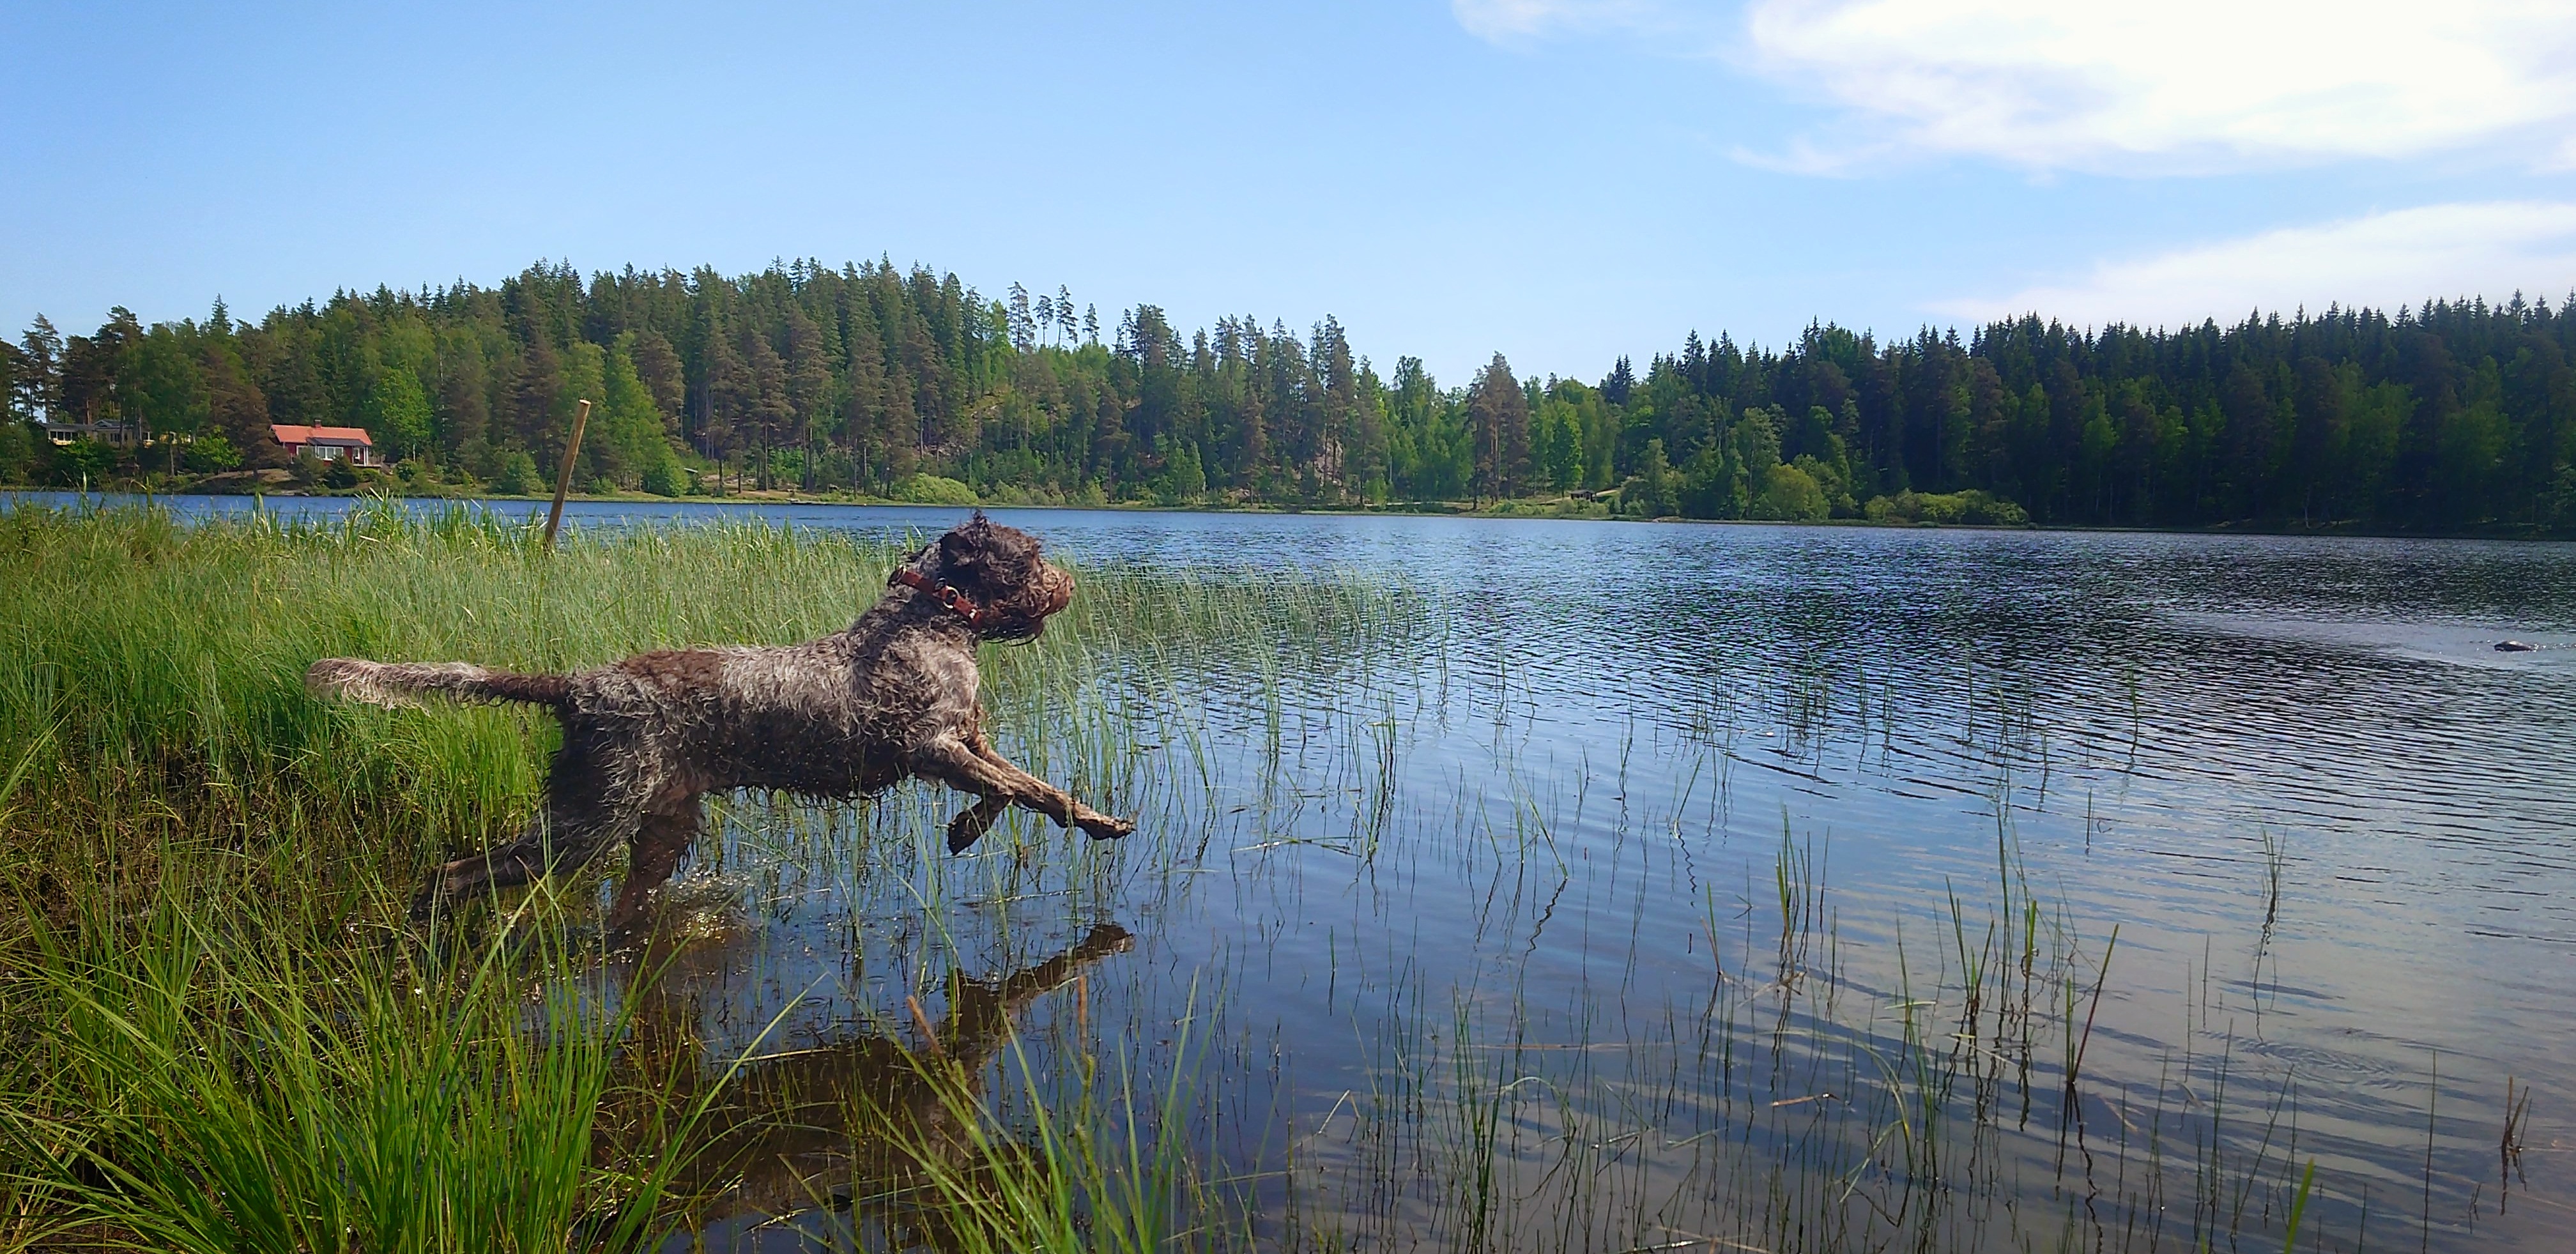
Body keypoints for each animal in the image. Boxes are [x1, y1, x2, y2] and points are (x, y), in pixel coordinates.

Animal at [306, 510, 1133, 932]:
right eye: (1030, 554)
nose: (1066, 585)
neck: (931, 620)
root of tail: (579, 686)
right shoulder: (928, 745)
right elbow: (1028, 789)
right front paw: (1080, 823)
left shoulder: (966, 739)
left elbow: (1017, 787)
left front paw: (982, 828)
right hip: (586, 823)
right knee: (460, 870)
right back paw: (424, 922)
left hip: (658, 828)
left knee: (623, 902)